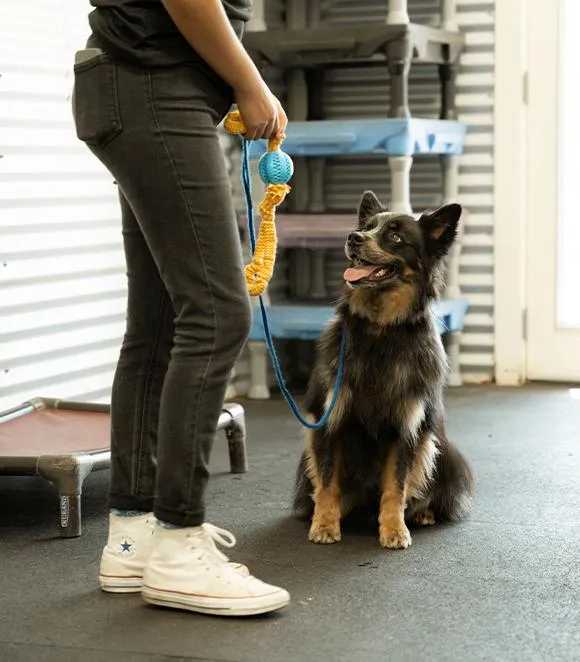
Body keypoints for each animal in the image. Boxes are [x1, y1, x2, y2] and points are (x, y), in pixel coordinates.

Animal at [292, 188, 474, 548]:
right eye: (366, 227)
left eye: (395, 237)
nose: (354, 237)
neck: (381, 329)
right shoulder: (328, 419)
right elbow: (328, 481)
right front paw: (325, 524)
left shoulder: (406, 426)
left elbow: (396, 486)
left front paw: (394, 528)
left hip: (441, 447)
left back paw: (421, 512)